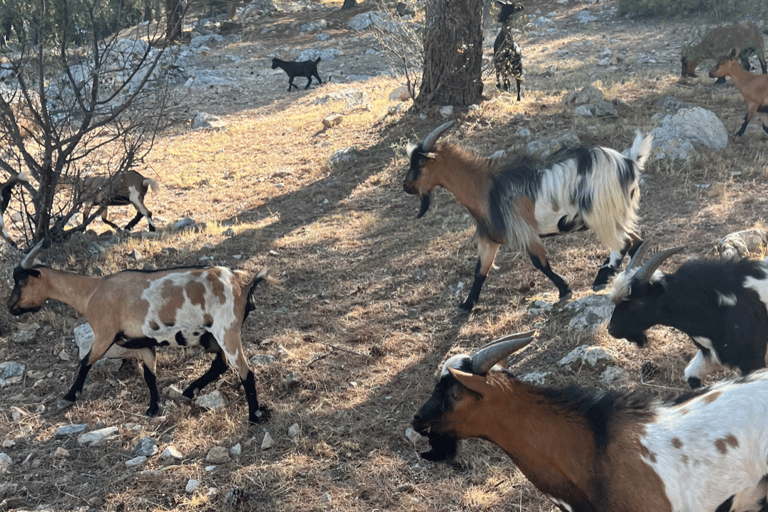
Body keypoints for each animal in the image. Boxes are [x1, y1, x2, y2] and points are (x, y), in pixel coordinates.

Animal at [6, 242, 276, 422]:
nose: (10, 307)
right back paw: (189, 392)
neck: (92, 292)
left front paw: (69, 396)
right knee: (220, 365)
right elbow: (150, 375)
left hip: (226, 330)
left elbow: (85, 362)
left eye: (21, 281)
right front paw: (153, 408)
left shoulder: (104, 335)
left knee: (245, 371)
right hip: (212, 337)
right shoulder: (144, 343)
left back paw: (254, 415)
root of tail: (242, 285)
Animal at [404, 121, 652, 312]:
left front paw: (564, 289)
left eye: (419, 164)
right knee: (635, 241)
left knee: (623, 243)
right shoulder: (490, 238)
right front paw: (467, 304)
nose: (406, 186)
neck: (487, 188)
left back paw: (602, 277)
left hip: (601, 214)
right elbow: (480, 271)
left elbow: (540, 263)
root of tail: (628, 162)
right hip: (614, 215)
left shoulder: (525, 231)